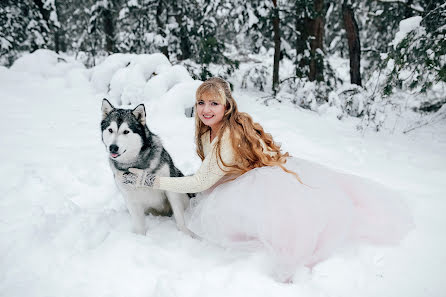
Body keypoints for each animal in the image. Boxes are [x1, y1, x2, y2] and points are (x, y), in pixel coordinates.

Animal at [101, 99, 195, 236]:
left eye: (126, 131)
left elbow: (179, 216)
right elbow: (139, 225)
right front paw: (140, 238)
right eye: (110, 130)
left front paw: (186, 233)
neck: (135, 164)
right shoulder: (130, 199)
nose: (113, 147)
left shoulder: (170, 188)